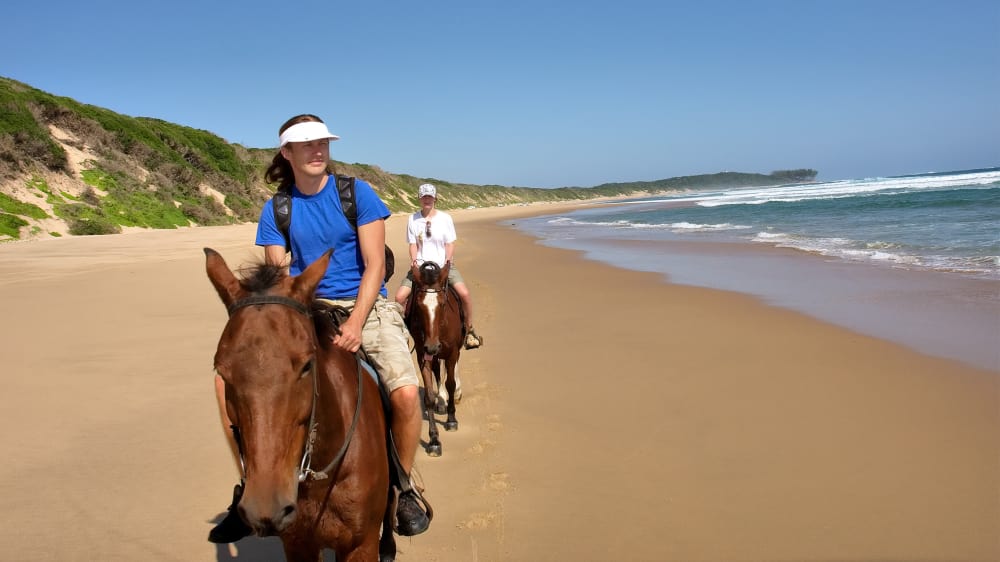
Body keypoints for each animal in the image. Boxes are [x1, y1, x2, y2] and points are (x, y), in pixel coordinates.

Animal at [406, 262, 464, 456]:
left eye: (442, 304)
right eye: (418, 304)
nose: (431, 346)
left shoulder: (452, 353)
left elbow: (451, 383)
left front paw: (451, 419)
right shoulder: (422, 355)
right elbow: (429, 396)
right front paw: (433, 440)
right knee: (438, 371)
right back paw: (441, 401)